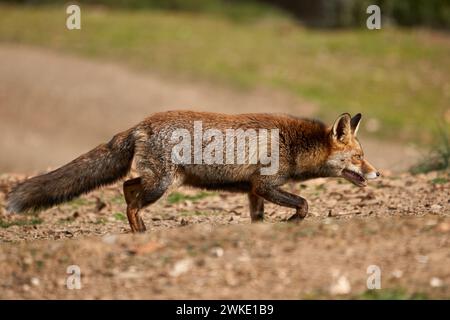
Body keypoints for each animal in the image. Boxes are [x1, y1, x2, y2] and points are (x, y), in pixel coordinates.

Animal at [7, 111, 380, 231]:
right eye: (359, 157)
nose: (378, 174)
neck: (293, 144)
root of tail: (139, 124)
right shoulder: (265, 184)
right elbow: (303, 203)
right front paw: (292, 221)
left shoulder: (252, 190)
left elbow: (258, 217)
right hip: (161, 184)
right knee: (131, 199)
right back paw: (140, 231)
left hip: (160, 180)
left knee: (128, 188)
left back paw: (138, 230)